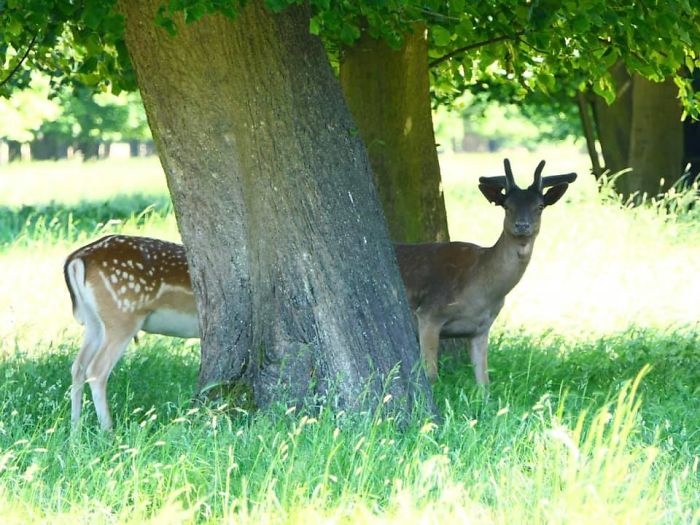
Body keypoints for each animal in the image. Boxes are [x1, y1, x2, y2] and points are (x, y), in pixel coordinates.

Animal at [395, 159, 576, 385]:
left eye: (540, 206)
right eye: (507, 206)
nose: (522, 225)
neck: (482, 294)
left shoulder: (481, 328)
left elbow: (484, 383)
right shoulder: (429, 313)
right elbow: (432, 376)